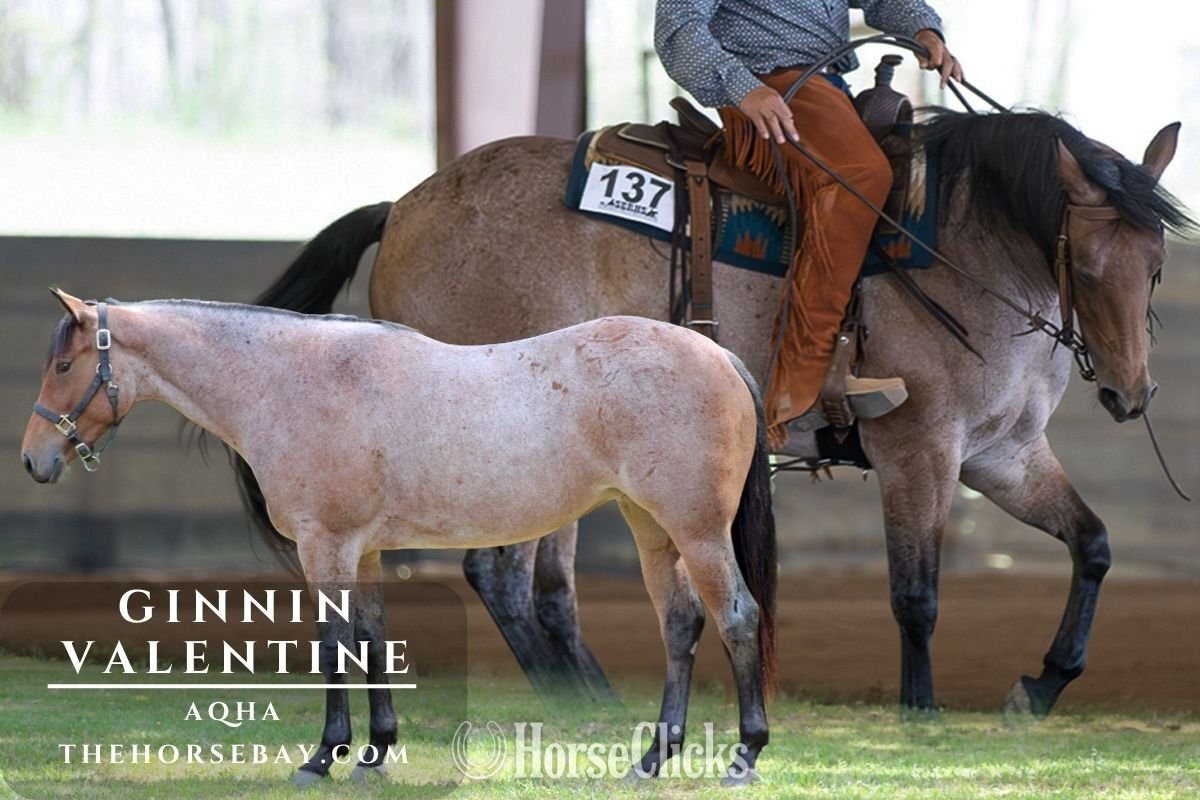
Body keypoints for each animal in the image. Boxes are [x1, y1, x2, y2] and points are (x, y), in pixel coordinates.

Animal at [20, 292, 778, 786]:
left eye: (63, 366)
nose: (33, 461)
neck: (291, 381)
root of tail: (719, 354)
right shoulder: (366, 550)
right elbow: (372, 637)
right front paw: (376, 753)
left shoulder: (325, 545)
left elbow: (333, 644)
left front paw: (323, 757)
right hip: (653, 529)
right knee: (681, 624)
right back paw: (652, 760)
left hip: (697, 531)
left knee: (737, 618)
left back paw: (744, 756)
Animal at [239, 109, 1190, 717]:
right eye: (1088, 266)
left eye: (1154, 267)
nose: (1128, 394)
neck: (961, 248)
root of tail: (402, 206)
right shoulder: (917, 448)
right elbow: (915, 594)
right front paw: (920, 711)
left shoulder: (1002, 454)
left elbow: (1093, 544)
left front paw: (1045, 682)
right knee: (500, 574)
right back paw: (578, 699)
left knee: (538, 586)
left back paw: (589, 696)